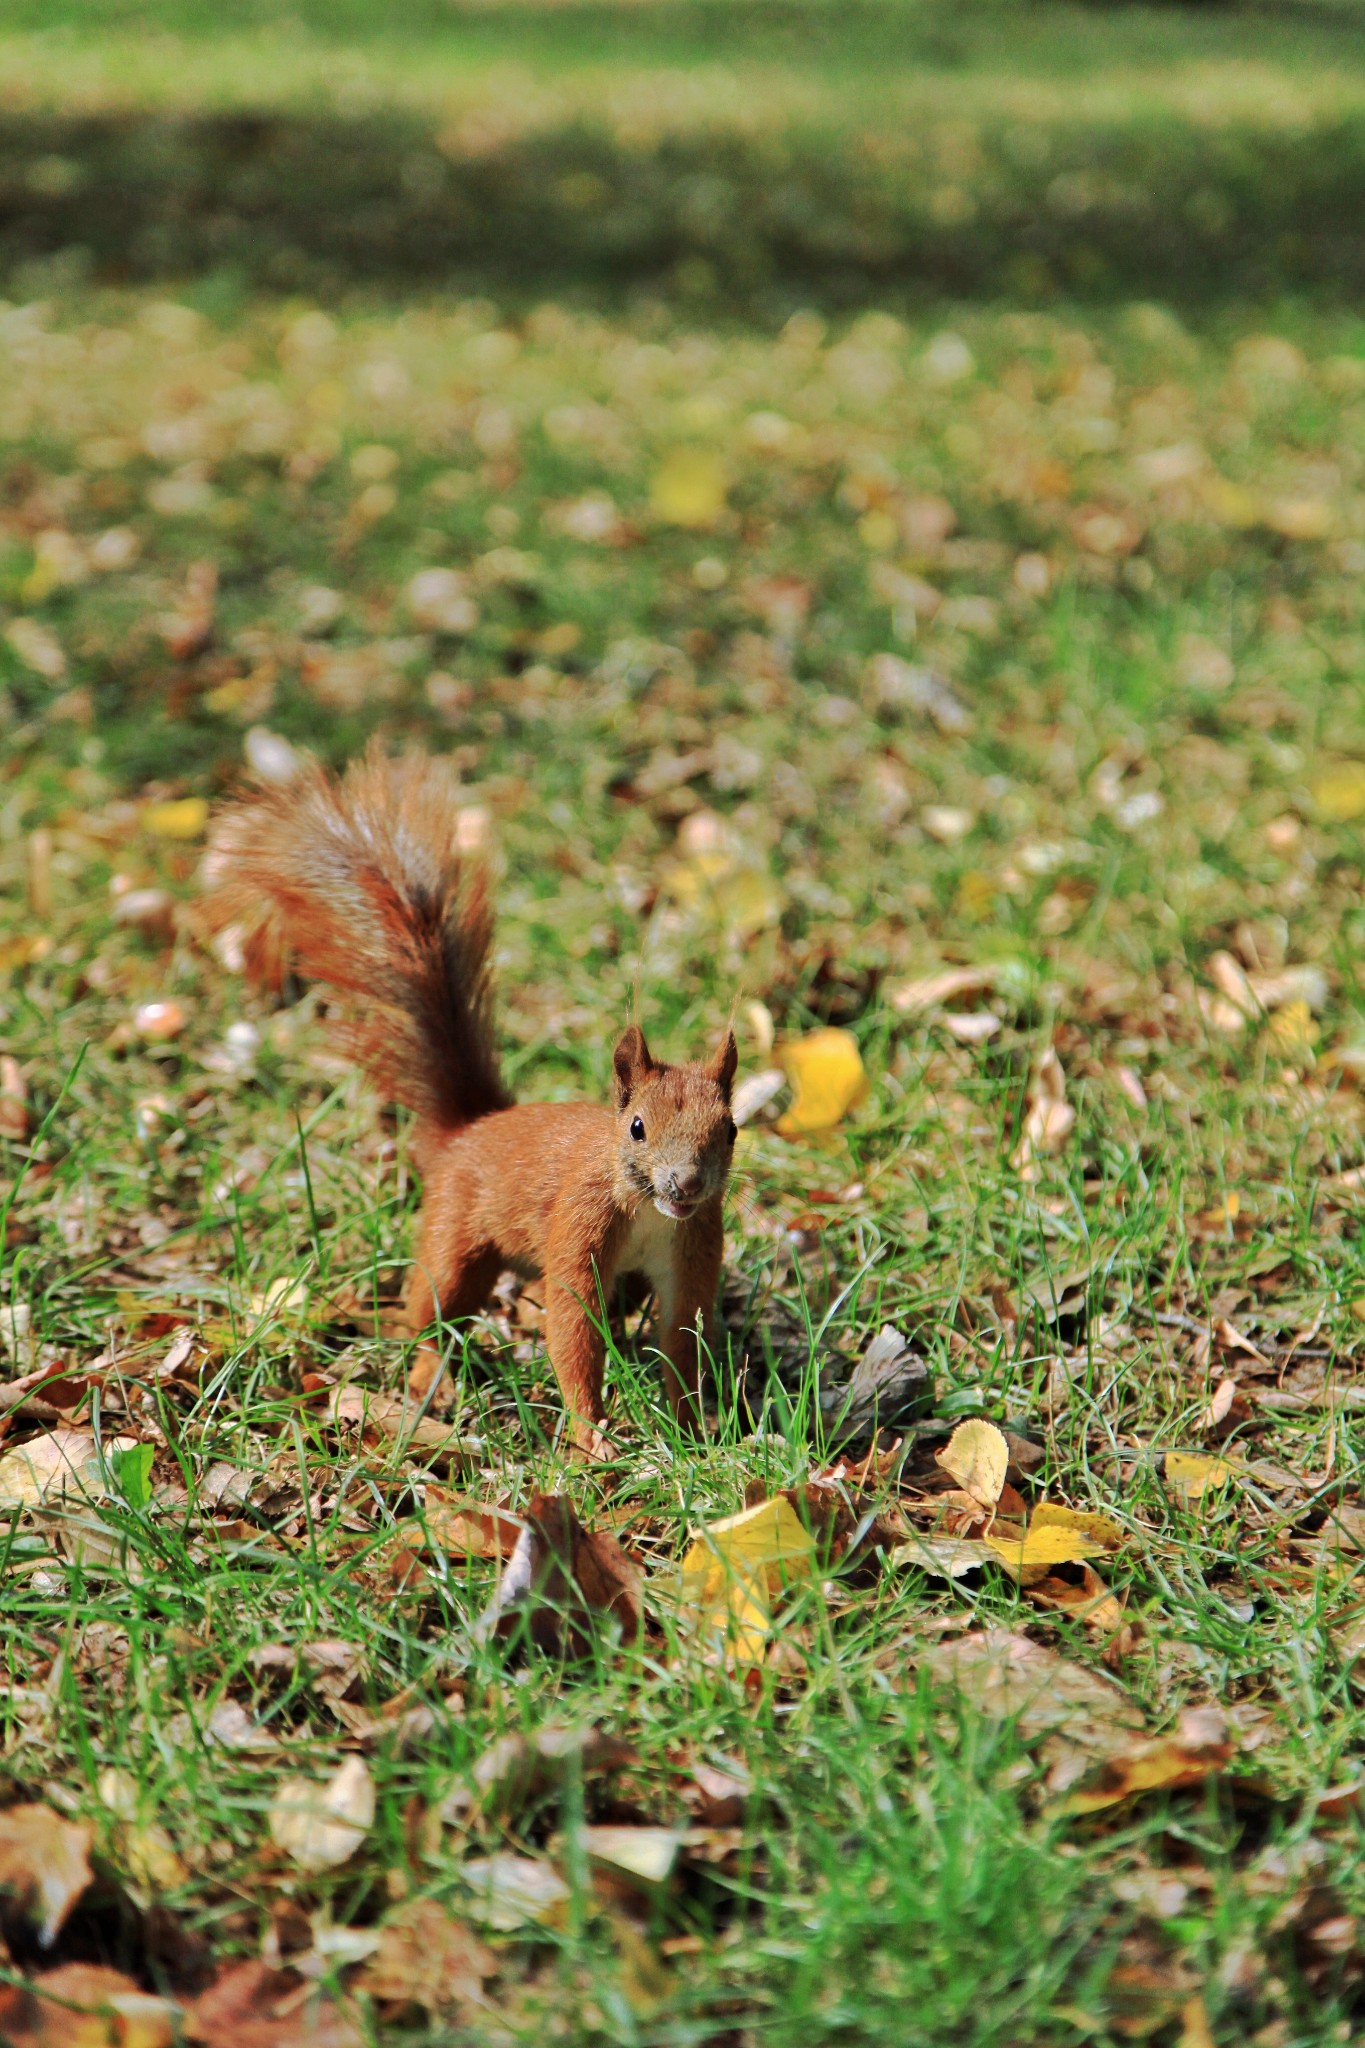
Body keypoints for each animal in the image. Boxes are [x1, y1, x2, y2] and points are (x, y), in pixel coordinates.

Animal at [201, 753, 736, 1458]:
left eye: (730, 1130)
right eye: (638, 1127)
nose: (686, 1183)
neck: (649, 1211)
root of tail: (470, 1130)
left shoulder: (691, 1248)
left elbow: (682, 1340)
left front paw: (691, 1431)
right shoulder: (580, 1228)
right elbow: (574, 1334)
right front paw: (594, 1439)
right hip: (455, 1235)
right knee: (432, 1313)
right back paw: (431, 1381)